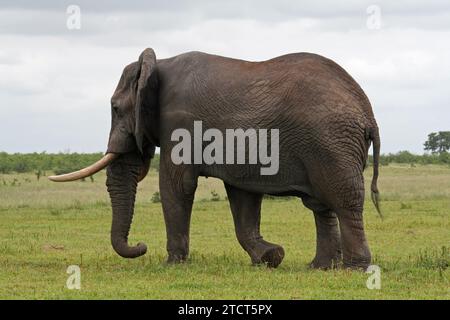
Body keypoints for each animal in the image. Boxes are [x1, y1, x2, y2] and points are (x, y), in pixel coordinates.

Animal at [50, 48, 380, 270]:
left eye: (116, 108)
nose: (141, 246)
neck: (158, 64)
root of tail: (368, 113)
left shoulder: (180, 122)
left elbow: (176, 185)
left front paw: (173, 264)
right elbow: (243, 195)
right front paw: (270, 257)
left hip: (331, 142)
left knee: (344, 198)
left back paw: (354, 269)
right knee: (321, 205)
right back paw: (320, 268)